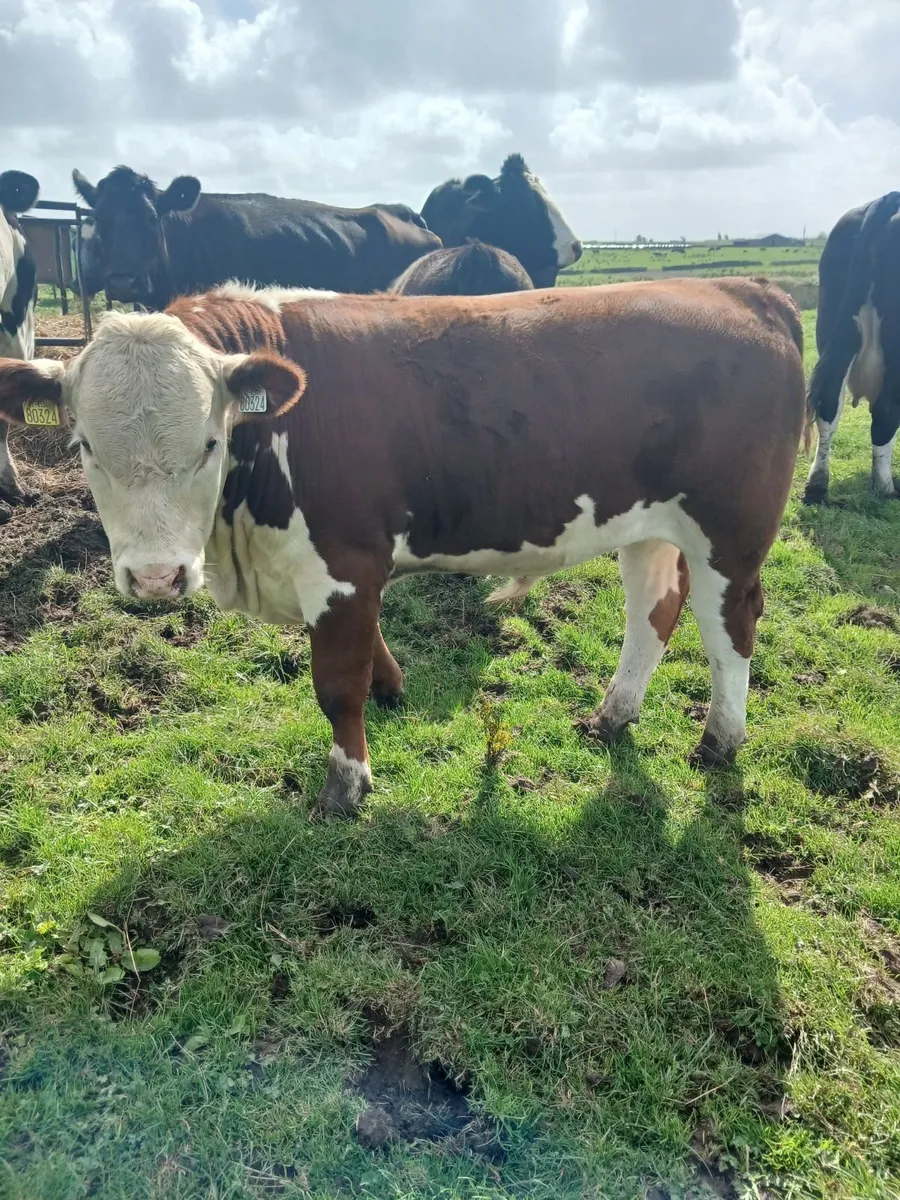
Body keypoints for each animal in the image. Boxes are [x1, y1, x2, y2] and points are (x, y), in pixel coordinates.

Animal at [0, 277, 805, 817]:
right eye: (83, 444)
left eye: (208, 442)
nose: (157, 577)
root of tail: (743, 288)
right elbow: (370, 654)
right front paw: (392, 688)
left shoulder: (345, 562)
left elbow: (335, 682)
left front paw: (345, 783)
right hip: (645, 524)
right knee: (651, 613)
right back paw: (613, 715)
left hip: (730, 533)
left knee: (730, 627)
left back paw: (720, 739)